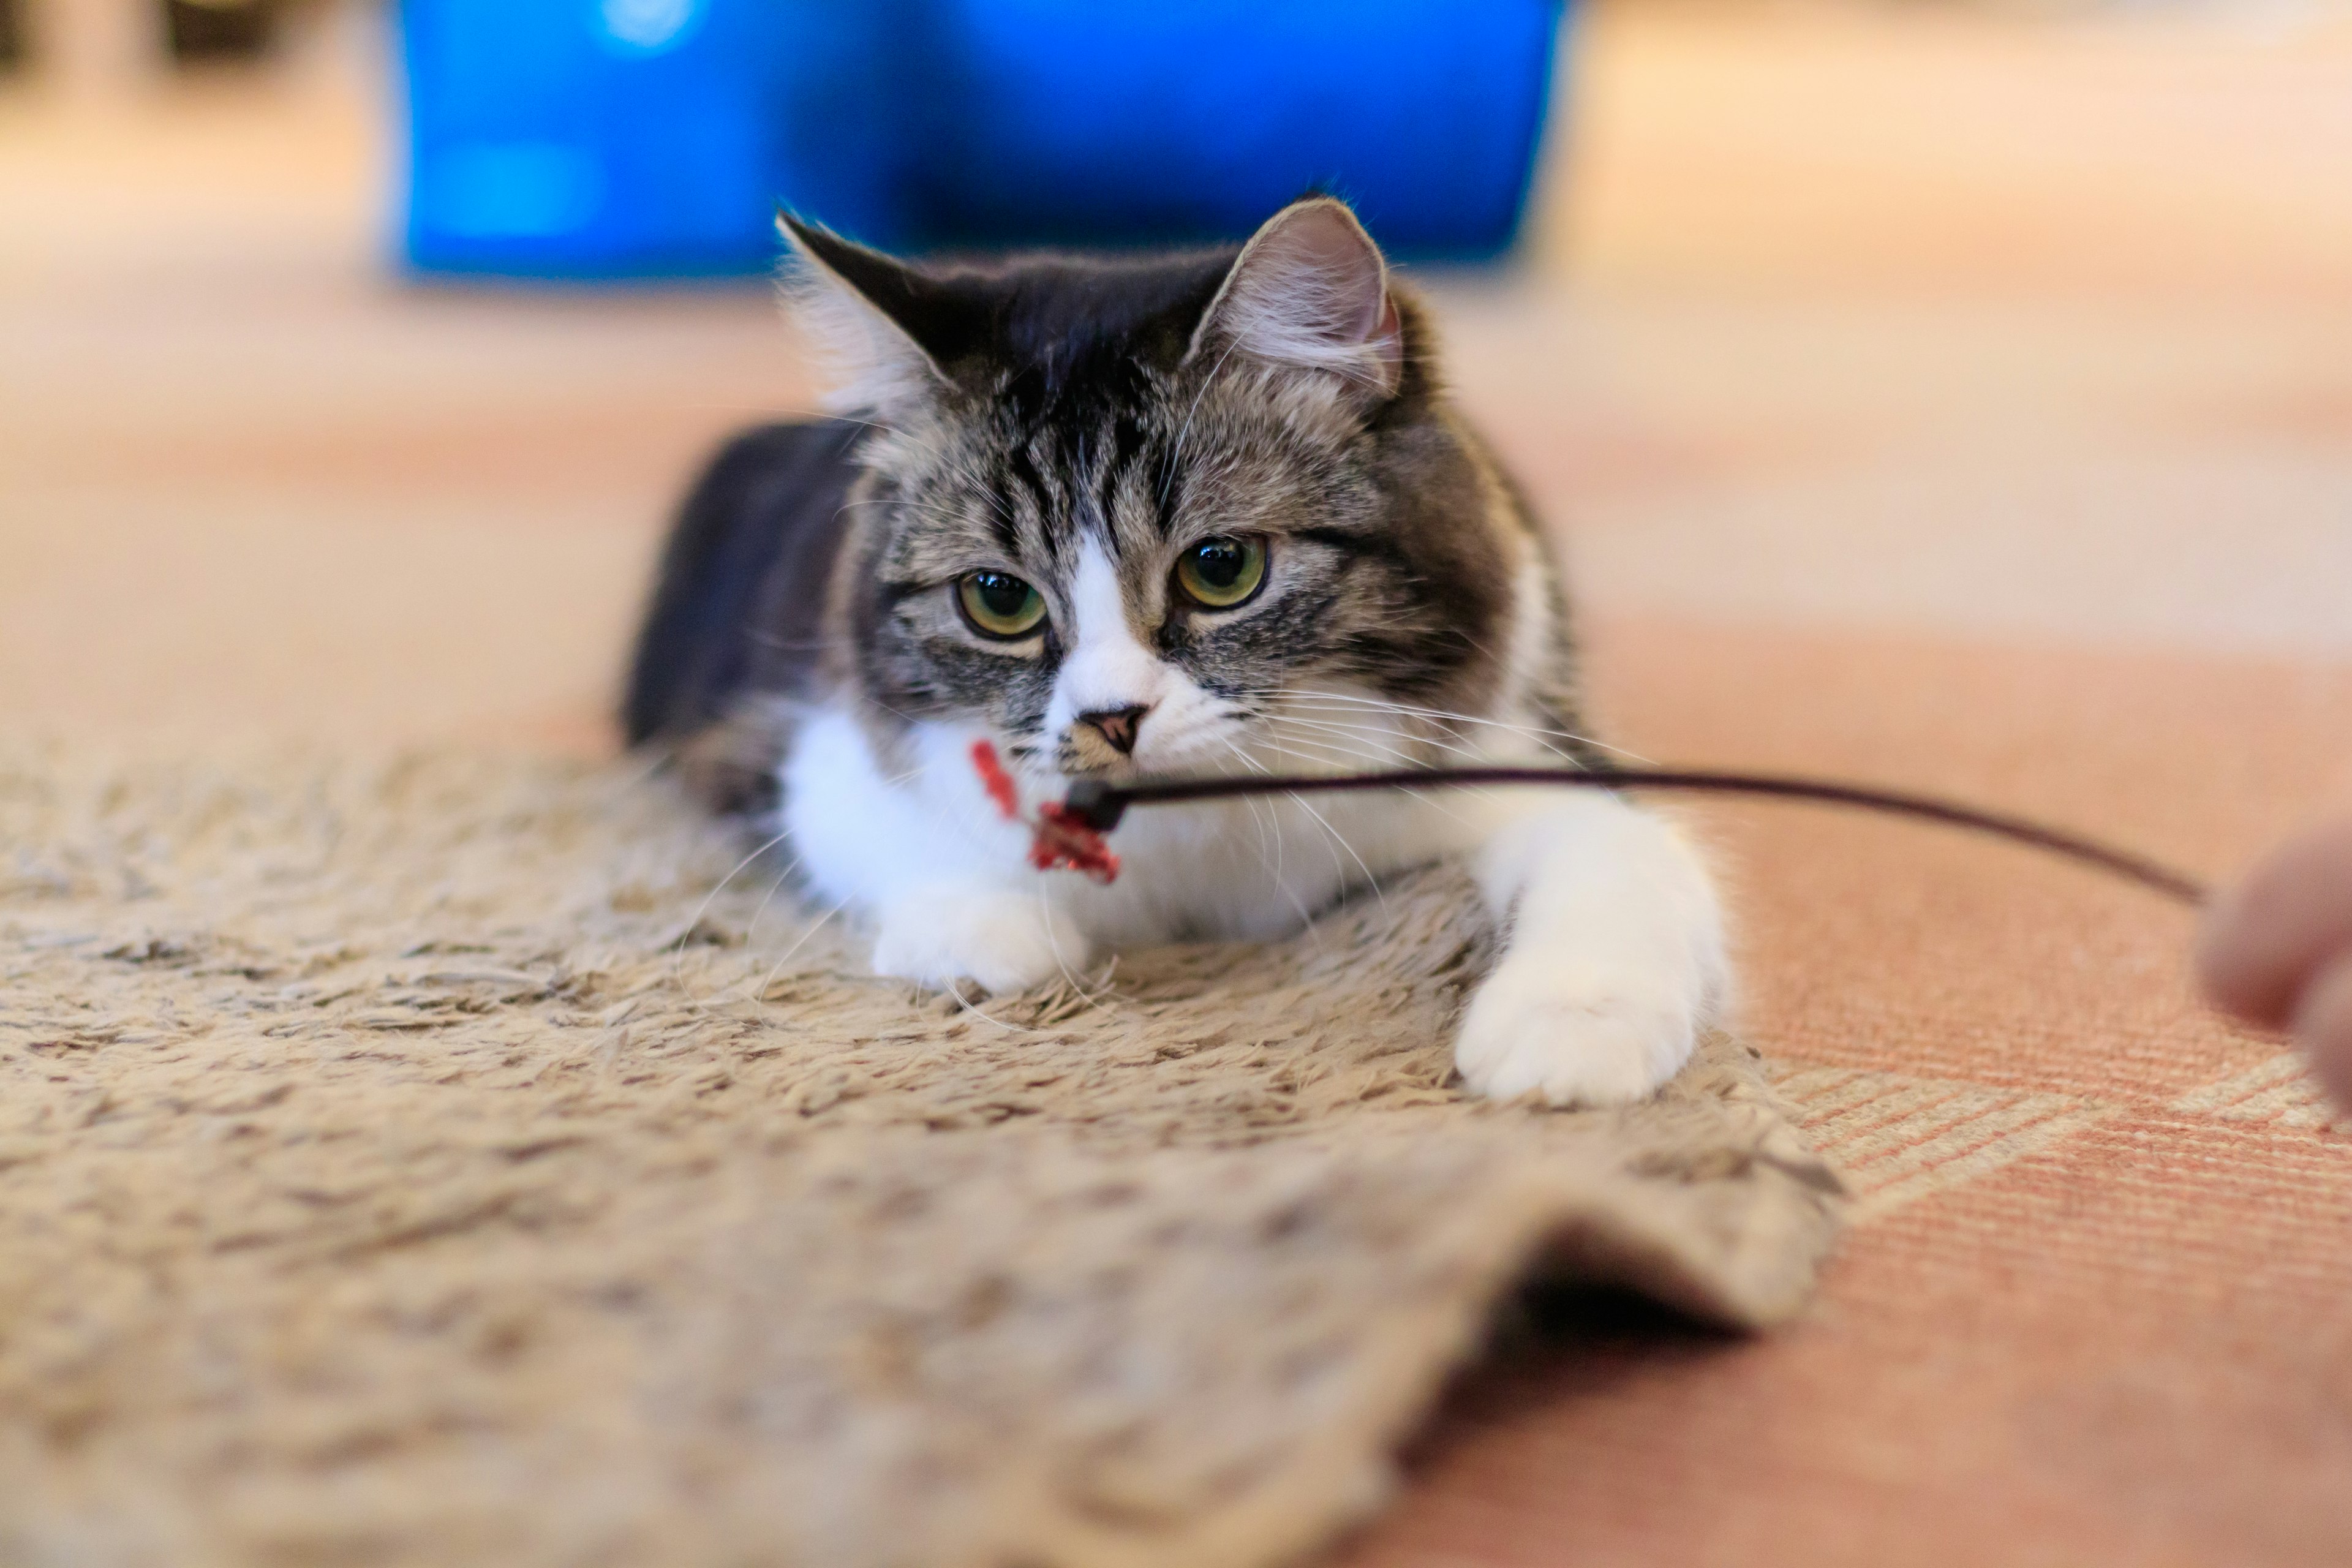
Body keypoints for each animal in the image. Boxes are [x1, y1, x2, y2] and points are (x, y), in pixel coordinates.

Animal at [625, 196, 1731, 1109]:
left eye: (1222, 569)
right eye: (998, 599)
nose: (1113, 719)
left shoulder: (1517, 751)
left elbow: (1619, 860)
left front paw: (1569, 1038)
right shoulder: (809, 750)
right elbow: (907, 839)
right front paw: (991, 937)